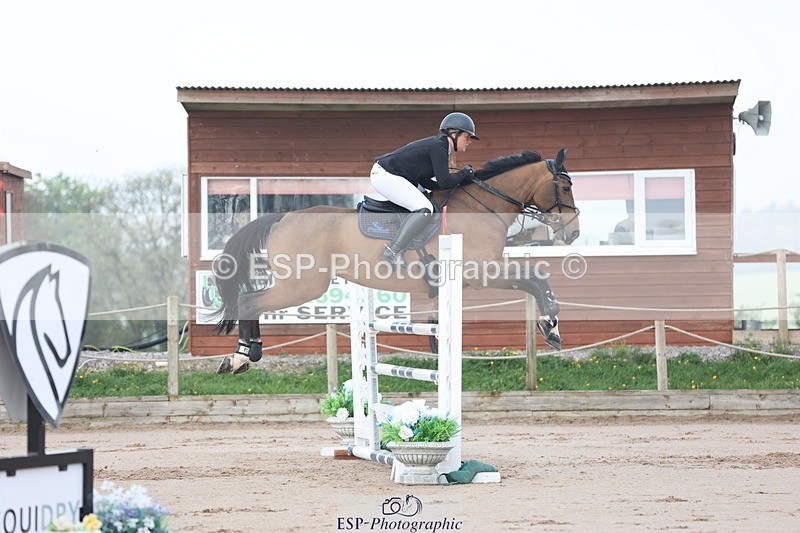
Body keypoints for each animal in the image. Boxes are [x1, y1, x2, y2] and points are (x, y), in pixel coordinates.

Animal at [213, 148, 580, 374]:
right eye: (564, 187)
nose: (574, 232)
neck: (484, 206)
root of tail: (283, 218)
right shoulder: (482, 272)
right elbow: (535, 278)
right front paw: (551, 327)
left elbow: (534, 279)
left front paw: (551, 328)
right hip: (301, 285)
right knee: (249, 301)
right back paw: (241, 356)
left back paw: (243, 356)